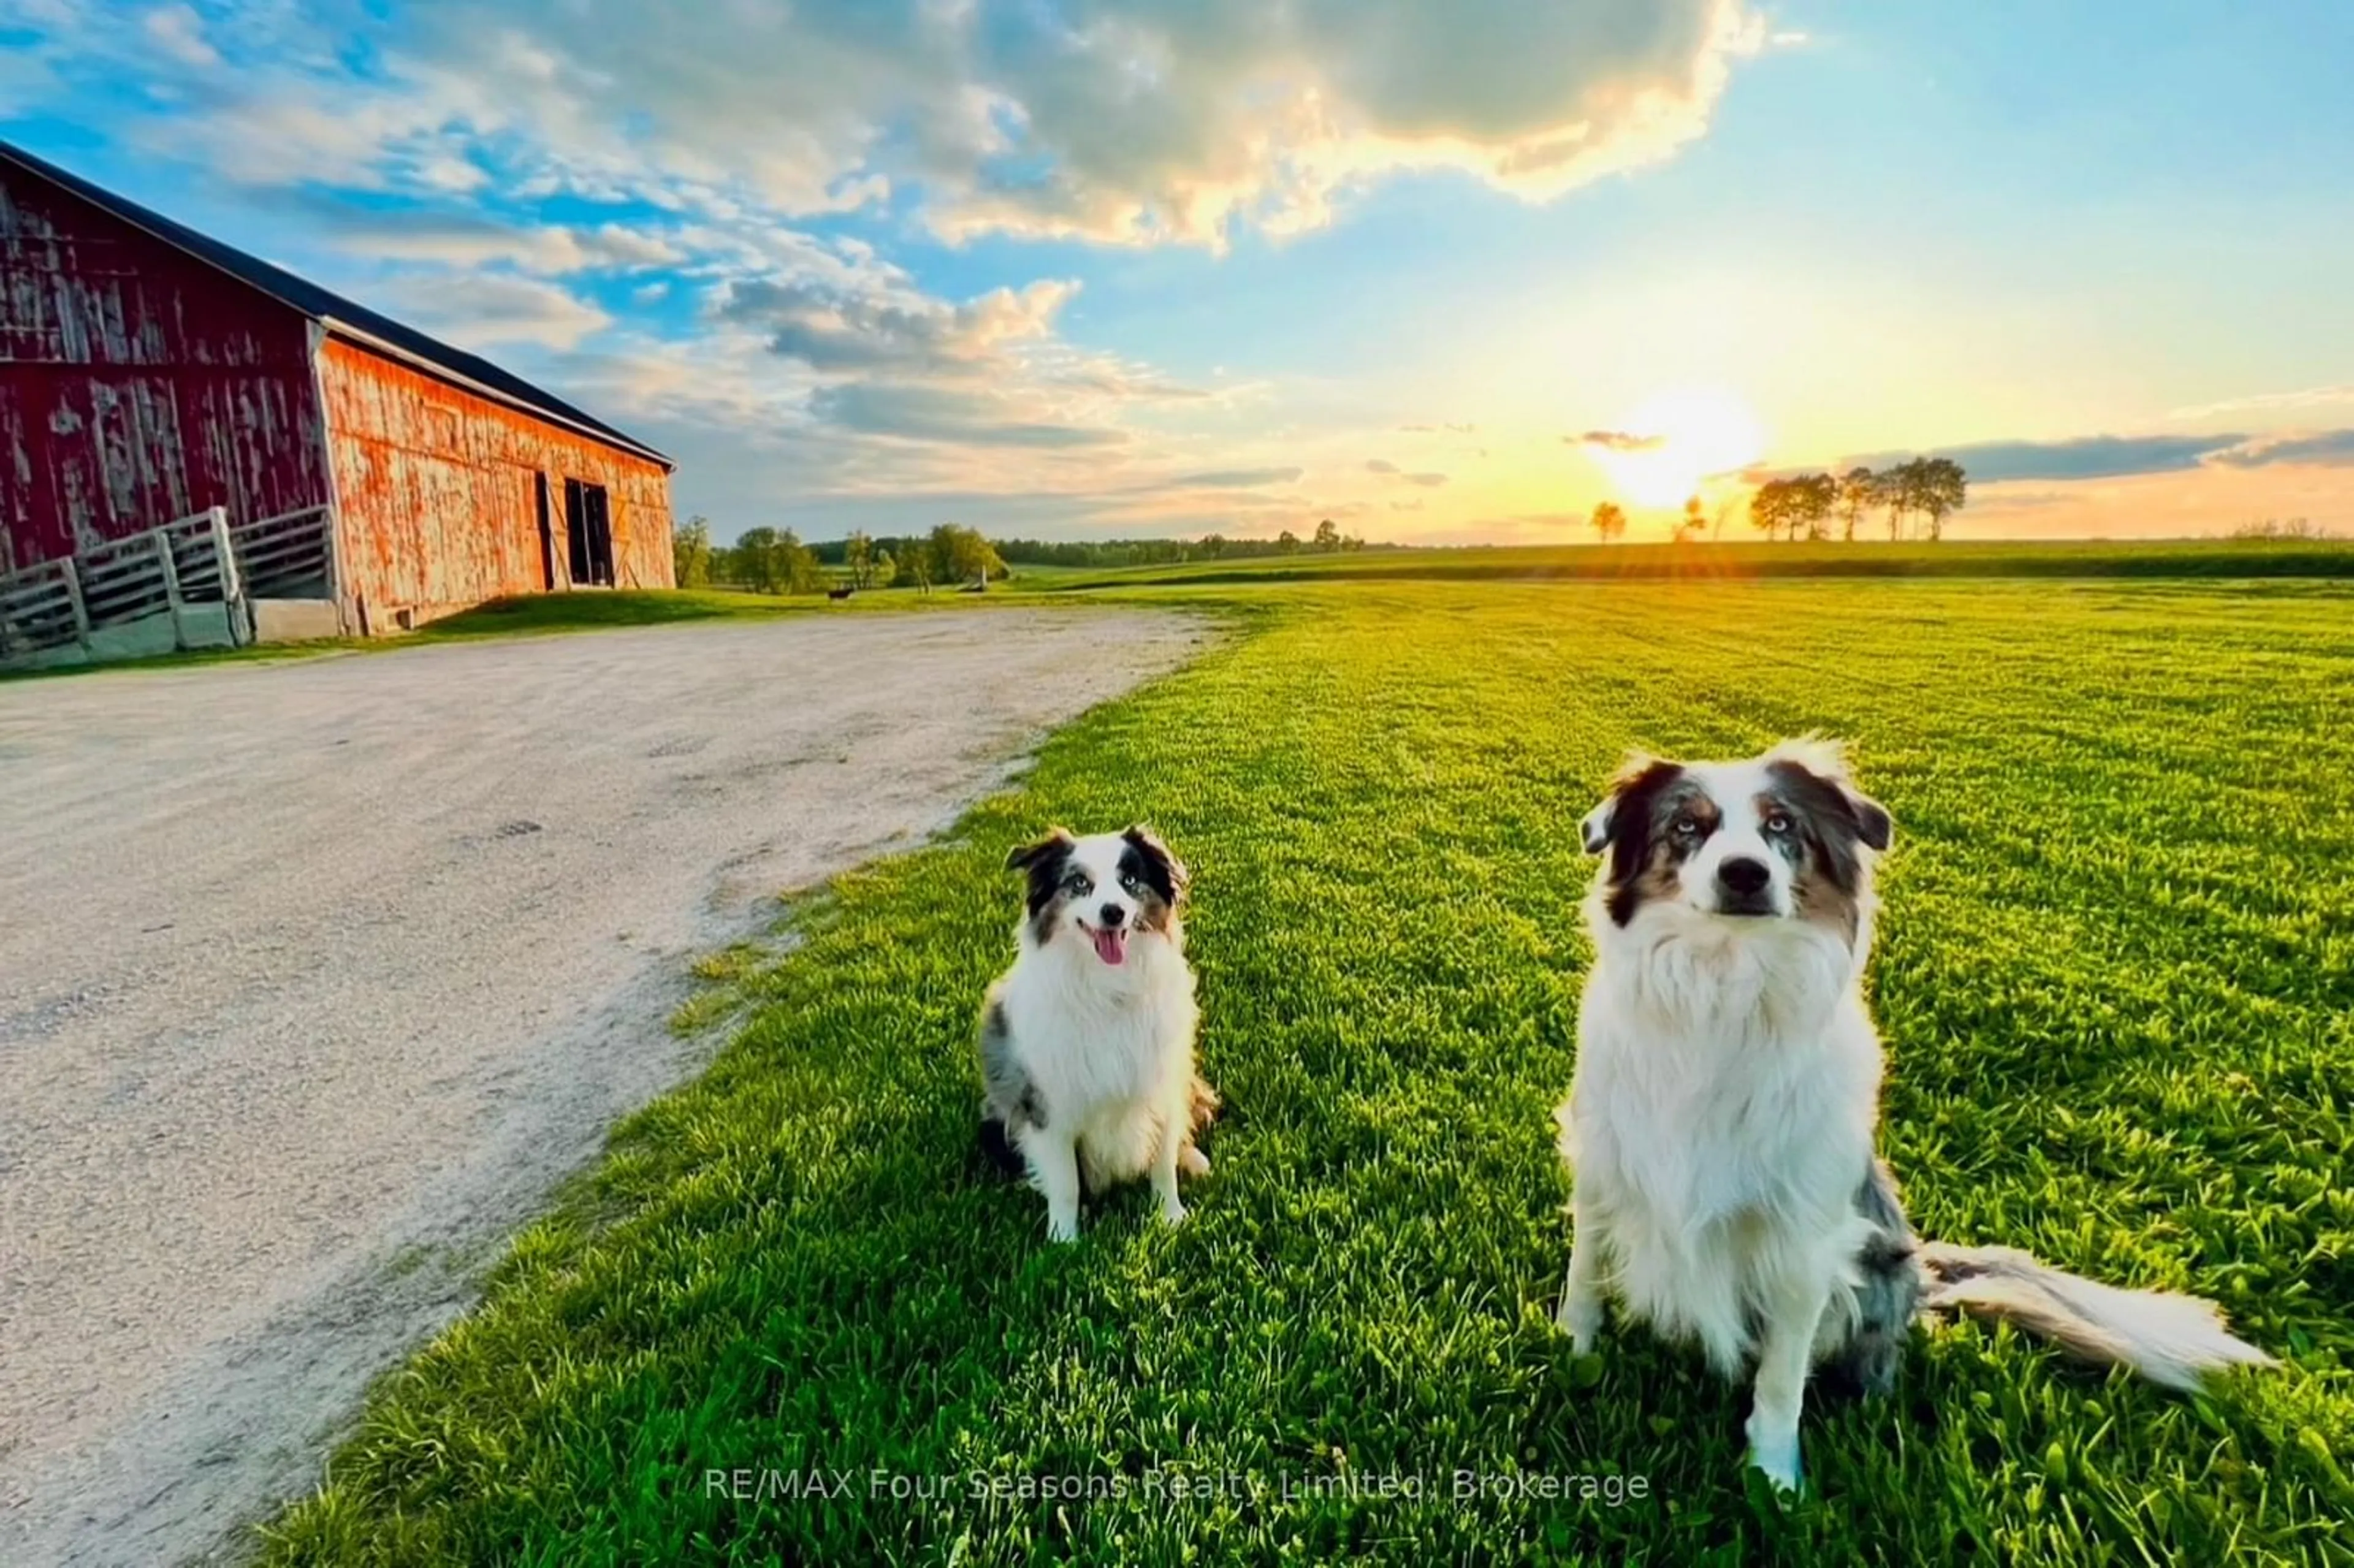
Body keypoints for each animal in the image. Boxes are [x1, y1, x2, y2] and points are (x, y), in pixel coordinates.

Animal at [974, 824, 1214, 1243]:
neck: (1109, 990)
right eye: (1079, 883)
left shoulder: (1162, 1084)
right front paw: (1064, 1241)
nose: (1113, 912)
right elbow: (1066, 1183)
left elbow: (1163, 1163)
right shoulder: (1049, 1106)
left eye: (1130, 880)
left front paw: (1172, 1217)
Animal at [1553, 734, 2269, 1488]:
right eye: (1687, 826)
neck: (1723, 988)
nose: (1746, 874)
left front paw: (1774, 1478)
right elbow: (1584, 1276)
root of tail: (1922, 1271)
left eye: (1781, 825)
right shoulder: (1602, 1166)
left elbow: (1780, 1379)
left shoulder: (1805, 1238)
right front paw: (1573, 1349)